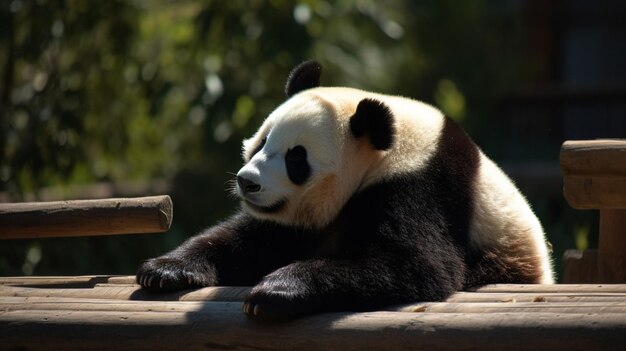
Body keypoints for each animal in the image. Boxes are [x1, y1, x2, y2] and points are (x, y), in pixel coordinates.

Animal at [136, 59, 552, 322]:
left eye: (296, 157)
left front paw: (274, 292)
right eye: (262, 141)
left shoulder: (419, 187)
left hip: (508, 257)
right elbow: (245, 238)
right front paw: (164, 270)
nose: (247, 181)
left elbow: (417, 264)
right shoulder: (290, 220)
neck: (385, 150)